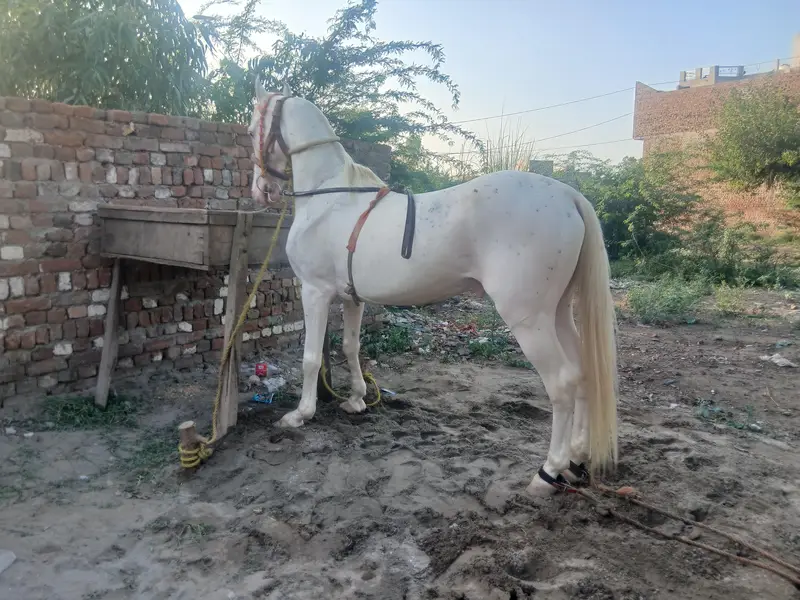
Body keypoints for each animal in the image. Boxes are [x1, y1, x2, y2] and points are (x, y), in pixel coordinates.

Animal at [246, 80, 618, 497]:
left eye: (251, 129)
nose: (261, 190)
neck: (330, 196)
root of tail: (569, 196)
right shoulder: (351, 298)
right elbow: (350, 347)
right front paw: (356, 400)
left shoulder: (314, 292)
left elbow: (311, 358)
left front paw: (300, 414)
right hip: (557, 313)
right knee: (583, 373)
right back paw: (576, 458)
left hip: (529, 319)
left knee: (562, 383)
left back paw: (549, 471)